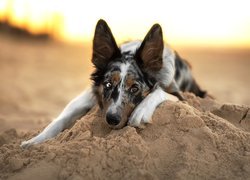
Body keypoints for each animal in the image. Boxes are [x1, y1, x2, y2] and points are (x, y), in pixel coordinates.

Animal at [21, 19, 205, 148]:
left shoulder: (181, 96)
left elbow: (158, 92)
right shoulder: (87, 96)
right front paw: (34, 141)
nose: (112, 119)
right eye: (108, 85)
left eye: (135, 88)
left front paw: (141, 111)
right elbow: (62, 118)